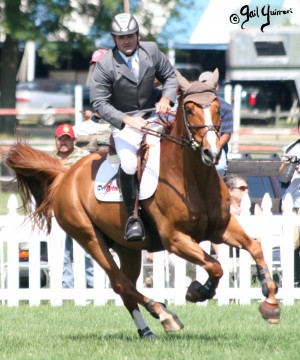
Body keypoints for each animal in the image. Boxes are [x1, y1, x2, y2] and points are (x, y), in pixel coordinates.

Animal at [4, 78, 280, 338]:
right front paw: (197, 292)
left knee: (126, 287)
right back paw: (164, 314)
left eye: (217, 109)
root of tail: (65, 175)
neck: (193, 178)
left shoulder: (221, 228)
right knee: (120, 283)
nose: (211, 153)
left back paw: (147, 330)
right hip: (89, 237)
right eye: (190, 110)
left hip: (127, 248)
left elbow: (254, 247)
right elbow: (215, 266)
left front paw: (271, 302)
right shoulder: (175, 239)